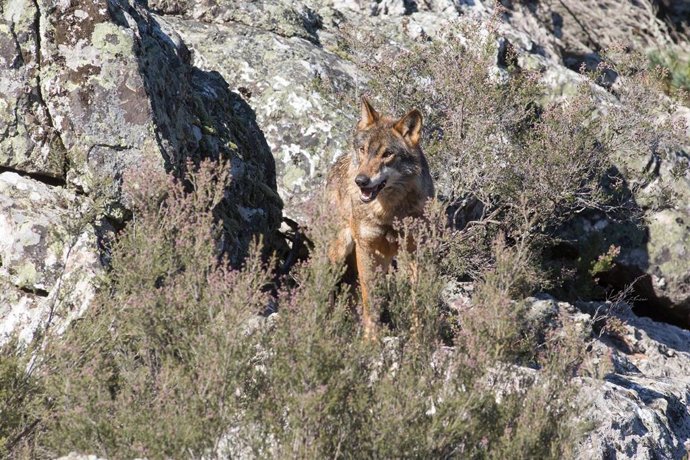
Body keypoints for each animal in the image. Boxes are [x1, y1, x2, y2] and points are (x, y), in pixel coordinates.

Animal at [327, 96, 434, 339]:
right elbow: (371, 299)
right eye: (363, 150)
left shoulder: (413, 250)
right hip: (339, 252)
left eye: (387, 154)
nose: (361, 181)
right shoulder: (367, 248)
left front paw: (418, 338)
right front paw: (371, 340)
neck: (389, 212)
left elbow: (416, 298)